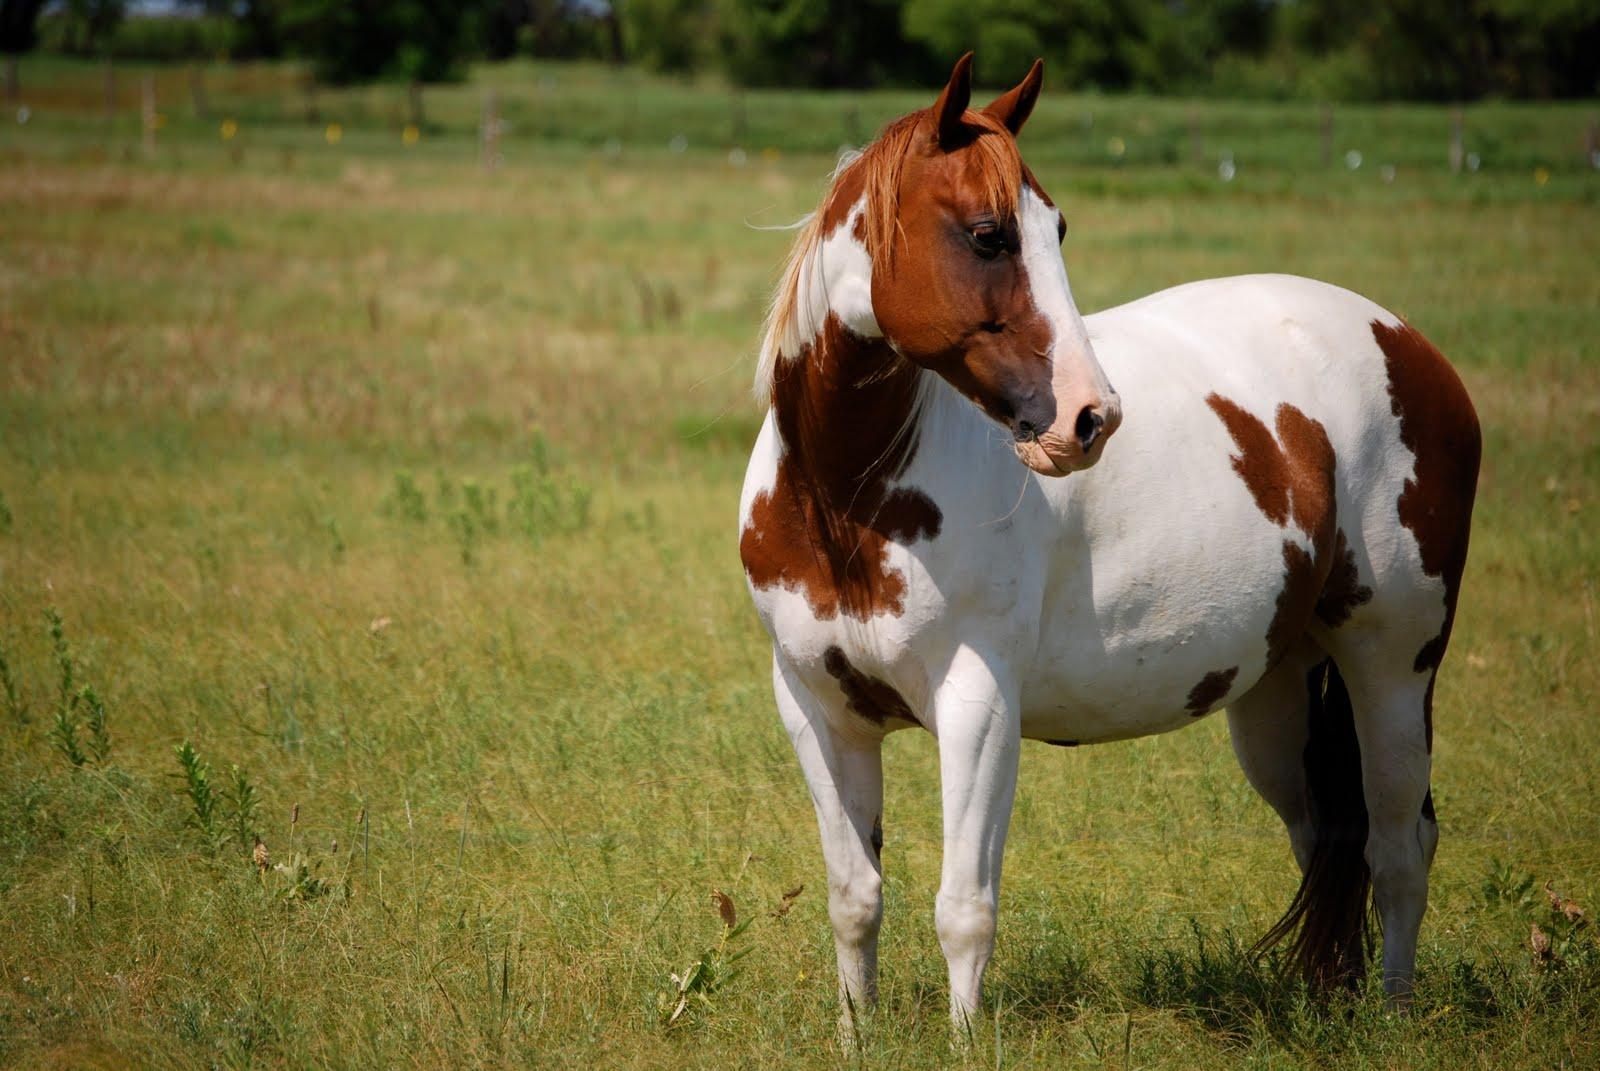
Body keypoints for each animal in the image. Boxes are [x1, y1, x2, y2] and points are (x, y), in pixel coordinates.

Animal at [737, 53, 1480, 1031]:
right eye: (988, 235)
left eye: (1056, 228)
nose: (1091, 418)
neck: (845, 500)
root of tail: (1414, 347)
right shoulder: (818, 710)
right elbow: (854, 898)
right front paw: (856, 1037)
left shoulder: (978, 706)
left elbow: (965, 908)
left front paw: (967, 1039)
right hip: (1278, 696)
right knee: (1330, 836)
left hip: (1392, 665)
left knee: (1400, 845)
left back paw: (1392, 1013)